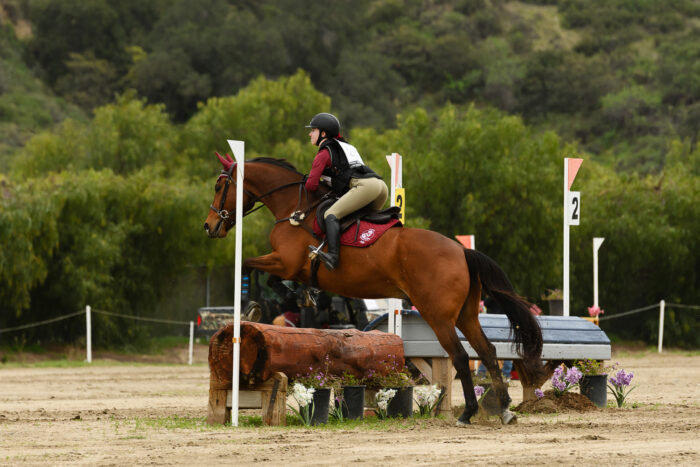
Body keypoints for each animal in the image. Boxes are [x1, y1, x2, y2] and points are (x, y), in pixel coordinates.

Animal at [203, 155, 547, 425]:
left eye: (220, 186)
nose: (209, 226)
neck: (295, 208)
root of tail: (462, 251)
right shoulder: (290, 265)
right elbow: (266, 273)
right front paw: (302, 296)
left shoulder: (286, 262)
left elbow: (251, 267)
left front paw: (254, 306)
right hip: (466, 315)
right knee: (487, 351)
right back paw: (504, 410)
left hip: (438, 316)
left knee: (461, 357)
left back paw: (468, 414)